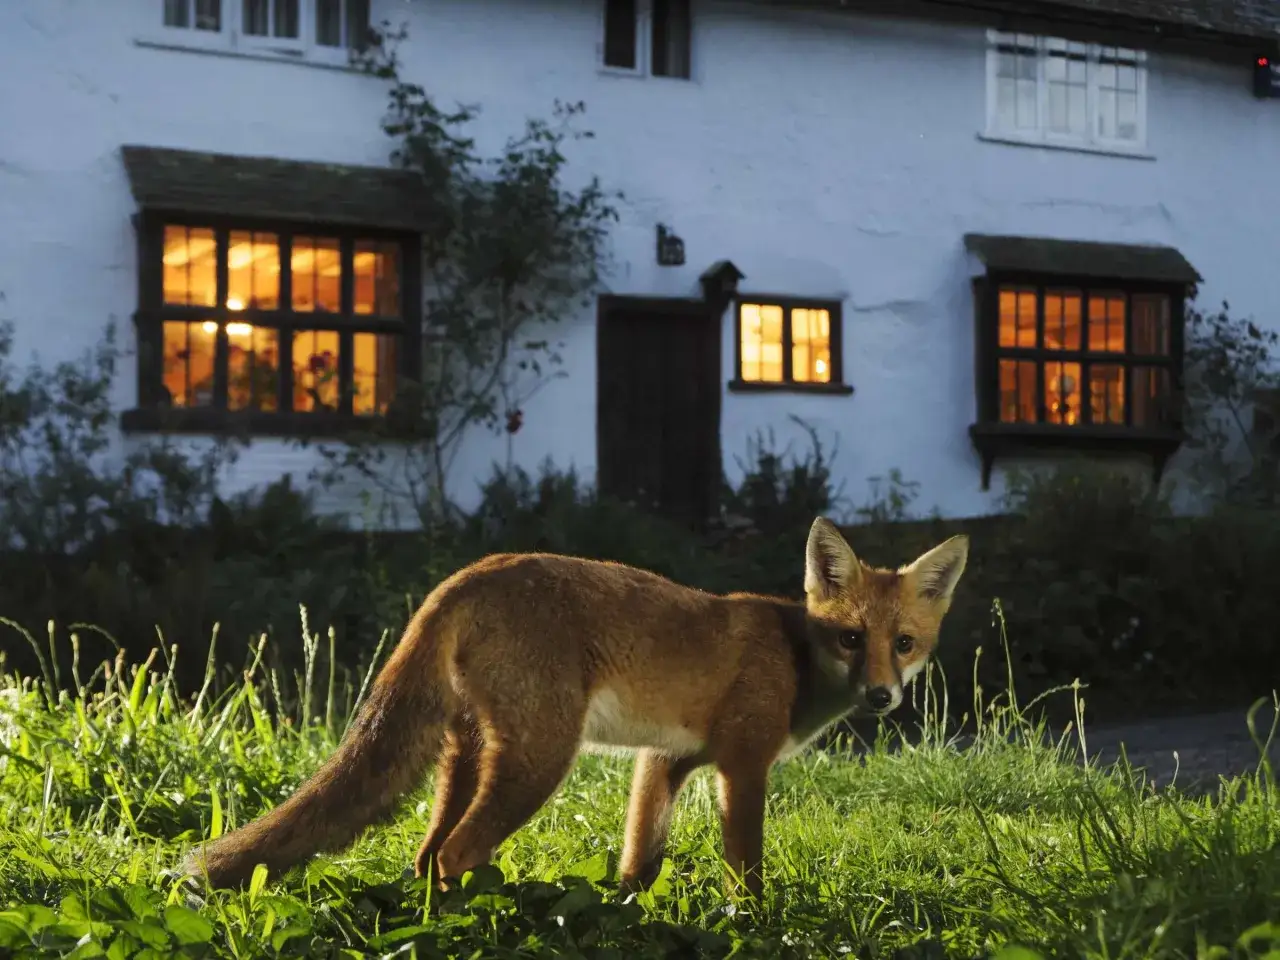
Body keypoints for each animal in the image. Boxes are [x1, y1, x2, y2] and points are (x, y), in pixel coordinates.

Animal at [181, 517, 968, 901]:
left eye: (903, 643)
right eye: (850, 638)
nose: (882, 696)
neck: (795, 654)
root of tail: (469, 574)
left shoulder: (664, 759)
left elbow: (639, 862)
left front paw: (628, 917)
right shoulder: (743, 767)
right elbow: (747, 868)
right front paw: (754, 921)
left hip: (469, 755)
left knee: (428, 855)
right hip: (540, 759)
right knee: (458, 851)